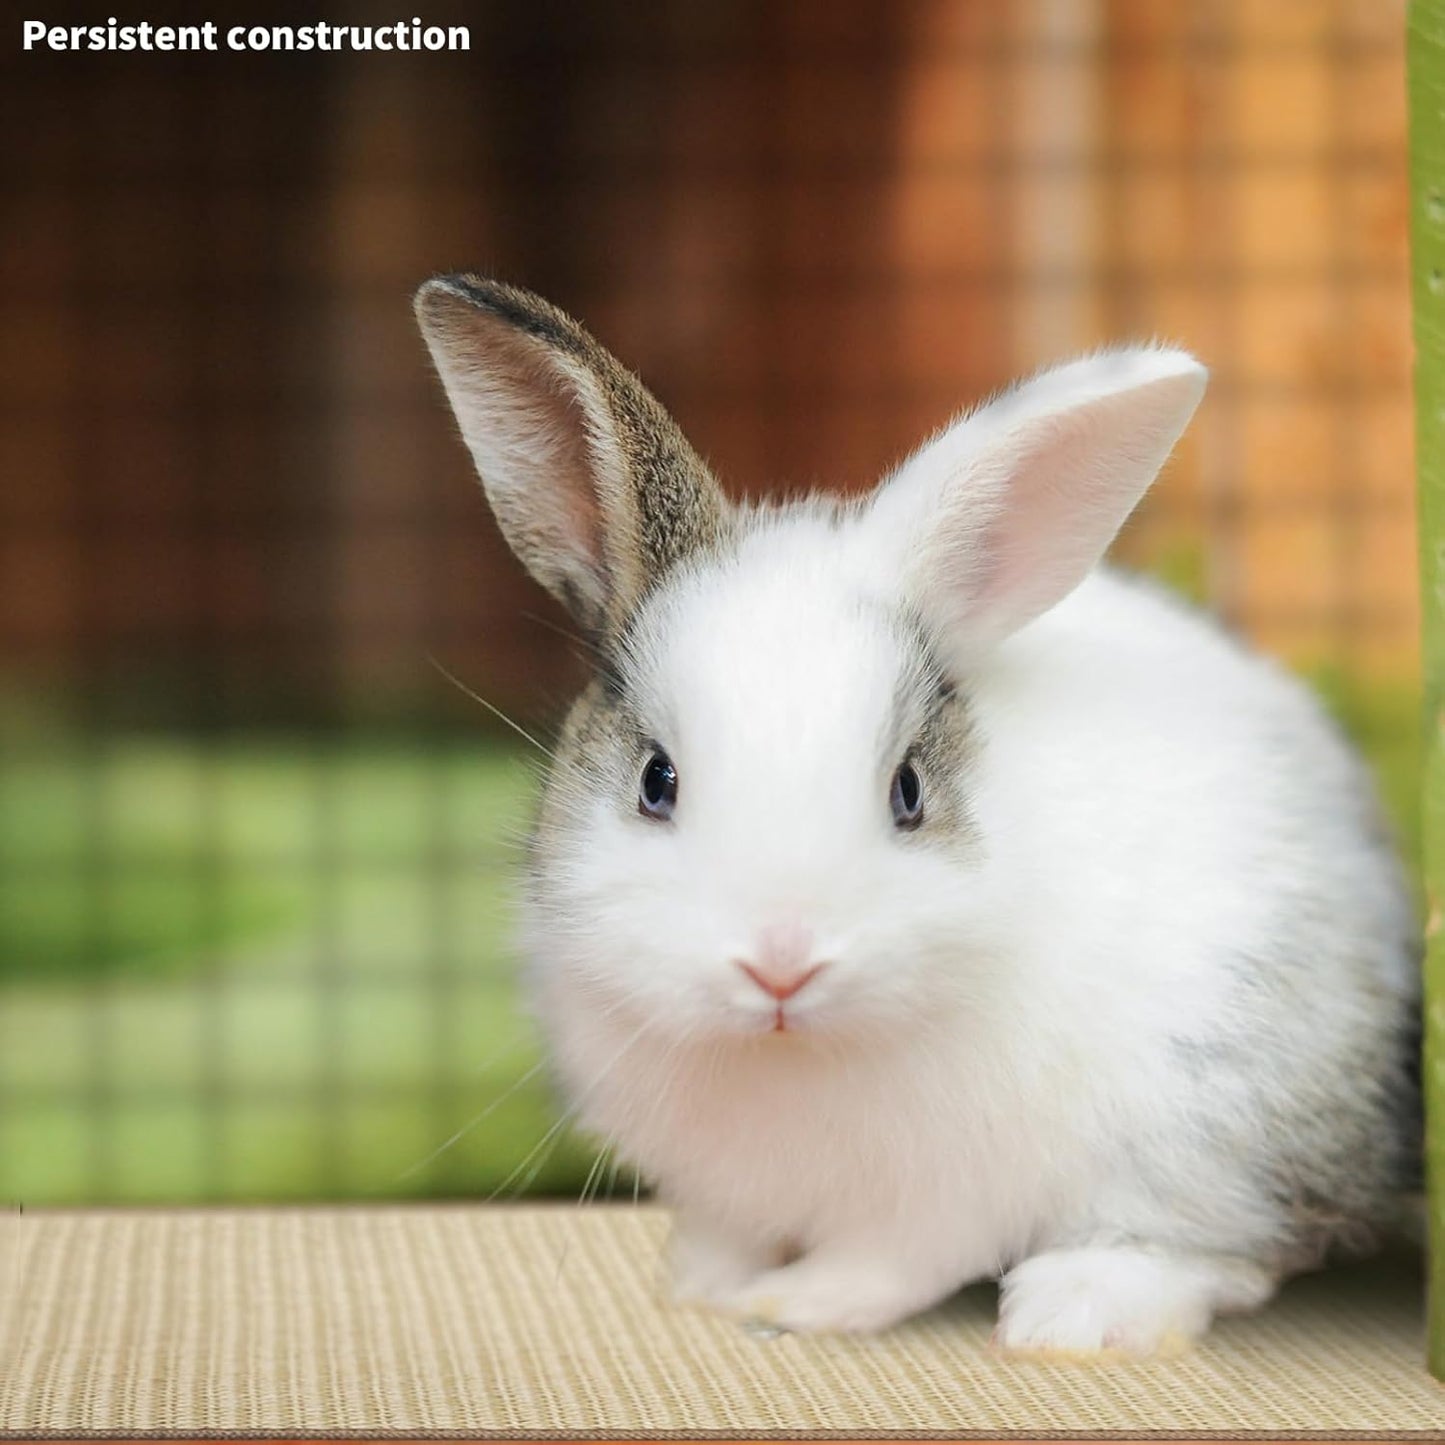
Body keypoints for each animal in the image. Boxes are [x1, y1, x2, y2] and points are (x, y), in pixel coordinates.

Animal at [413, 273, 1421, 1357]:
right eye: (655, 779)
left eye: (907, 791)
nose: (780, 963)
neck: (790, 1051)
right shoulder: (723, 1190)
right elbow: (728, 1233)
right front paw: (701, 1286)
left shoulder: (943, 1197)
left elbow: (890, 1261)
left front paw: (792, 1306)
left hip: (1218, 1112)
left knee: (1222, 1246)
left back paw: (1076, 1310)